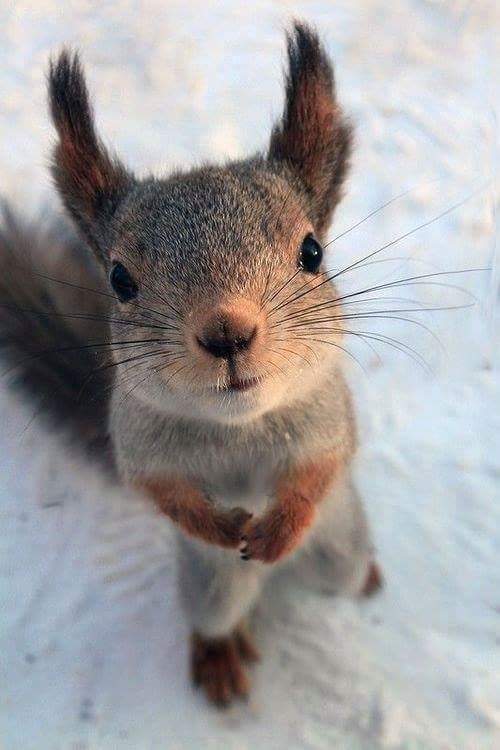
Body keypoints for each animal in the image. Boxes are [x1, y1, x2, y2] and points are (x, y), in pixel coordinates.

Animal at [0, 22, 383, 707]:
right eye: (119, 279)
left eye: (312, 251)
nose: (227, 333)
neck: (239, 426)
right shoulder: (137, 441)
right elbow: (160, 492)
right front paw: (223, 529)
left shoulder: (328, 417)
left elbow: (319, 470)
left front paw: (280, 526)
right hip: (210, 588)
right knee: (215, 615)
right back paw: (219, 658)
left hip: (343, 546)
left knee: (341, 569)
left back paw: (360, 576)